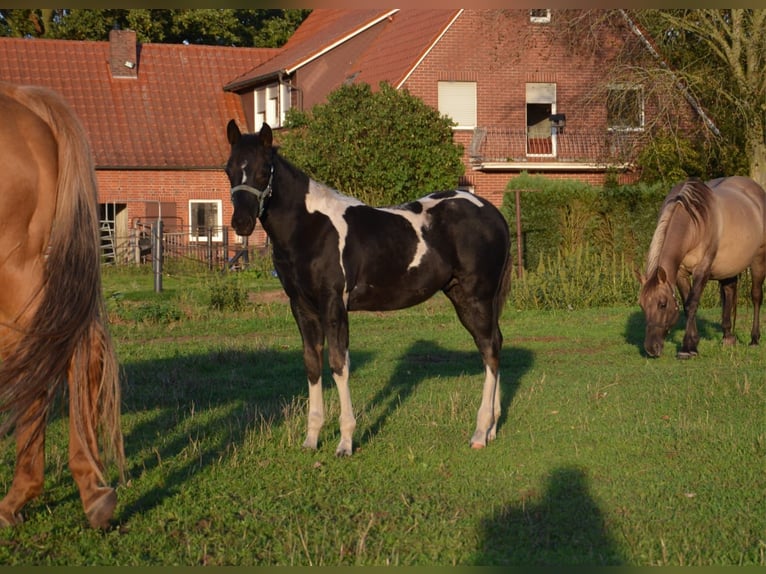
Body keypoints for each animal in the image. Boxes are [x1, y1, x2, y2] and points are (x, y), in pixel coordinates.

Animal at [225, 121, 512, 454]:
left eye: (263, 170)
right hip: (464, 296)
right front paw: (311, 439)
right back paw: (492, 428)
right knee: (493, 345)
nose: (242, 223)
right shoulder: (302, 307)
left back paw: (480, 432)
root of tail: (494, 214)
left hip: (475, 296)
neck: (311, 228)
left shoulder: (333, 304)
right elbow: (312, 363)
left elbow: (339, 364)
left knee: (489, 348)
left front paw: (345, 442)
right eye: (229, 169)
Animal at [637, 176, 766, 358]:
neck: (693, 226)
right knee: (729, 292)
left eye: (662, 304)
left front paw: (687, 348)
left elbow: (692, 304)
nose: (651, 349)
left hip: (759, 260)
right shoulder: (681, 273)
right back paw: (728, 337)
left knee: (756, 296)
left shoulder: (702, 270)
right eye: (641, 305)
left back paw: (754, 339)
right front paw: (693, 342)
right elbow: (687, 304)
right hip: (729, 267)